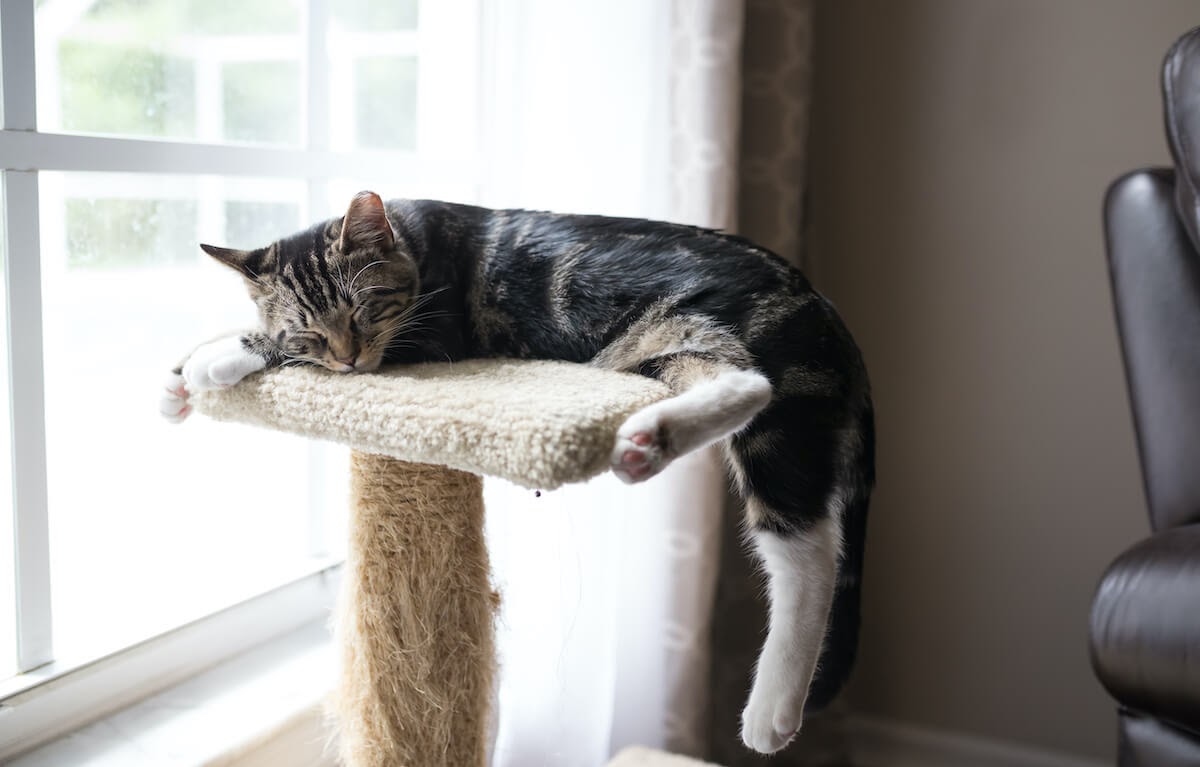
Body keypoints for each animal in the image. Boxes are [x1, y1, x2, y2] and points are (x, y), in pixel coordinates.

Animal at [157, 192, 873, 758]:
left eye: (362, 311)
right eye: (309, 330)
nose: (347, 360)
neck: (413, 241)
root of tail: (820, 301)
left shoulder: (431, 338)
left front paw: (214, 360)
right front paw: (179, 382)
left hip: (712, 350)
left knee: (798, 531)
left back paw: (771, 710)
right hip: (658, 347)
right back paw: (648, 439)